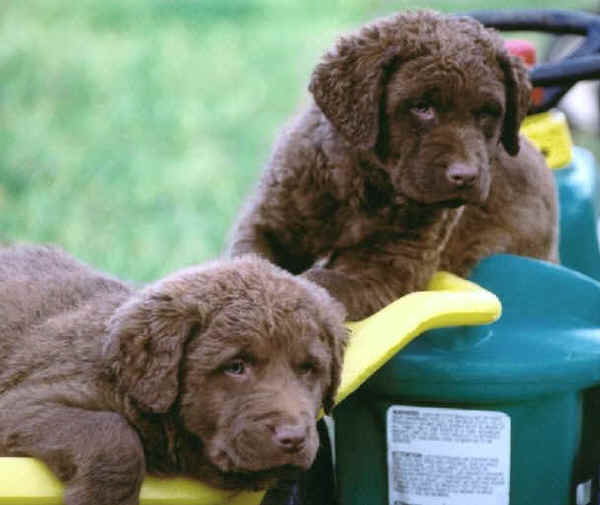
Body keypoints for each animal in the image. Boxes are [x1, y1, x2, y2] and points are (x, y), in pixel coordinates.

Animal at [229, 9, 556, 318]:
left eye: (487, 113)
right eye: (422, 108)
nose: (465, 176)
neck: (364, 186)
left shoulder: (390, 270)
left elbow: (326, 281)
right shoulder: (268, 221)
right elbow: (251, 261)